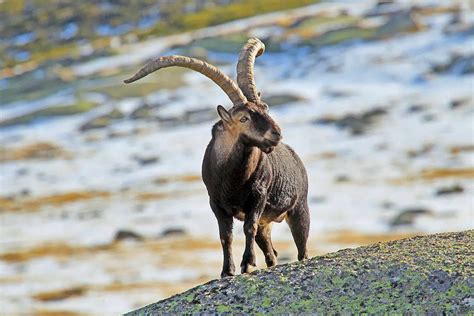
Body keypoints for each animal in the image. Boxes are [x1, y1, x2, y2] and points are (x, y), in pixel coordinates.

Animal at [124, 38, 310, 278]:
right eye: (243, 118)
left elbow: (247, 227)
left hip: (299, 208)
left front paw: (248, 264)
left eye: (265, 107)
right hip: (267, 223)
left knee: (302, 247)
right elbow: (225, 235)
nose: (276, 133)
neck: (234, 179)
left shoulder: (257, 198)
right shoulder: (216, 203)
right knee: (271, 252)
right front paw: (227, 271)